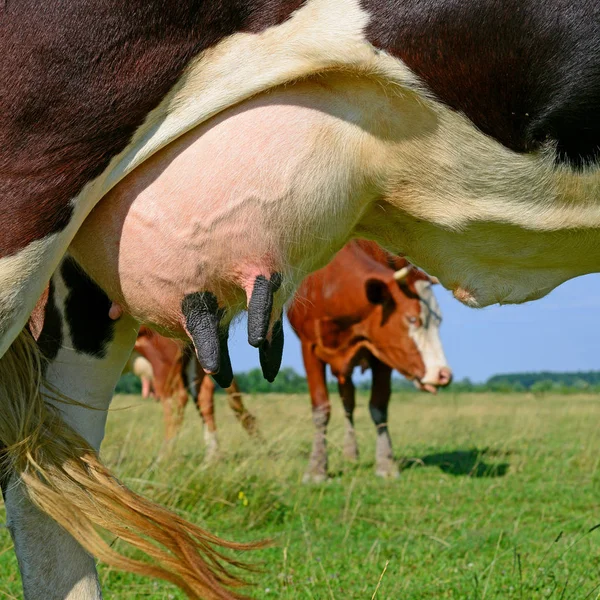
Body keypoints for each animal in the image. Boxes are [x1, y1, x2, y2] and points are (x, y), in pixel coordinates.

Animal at [288, 241, 450, 480]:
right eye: (412, 318)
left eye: (439, 321)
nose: (443, 374)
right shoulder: (308, 347)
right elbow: (321, 409)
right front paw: (316, 468)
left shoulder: (382, 353)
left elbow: (379, 407)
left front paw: (386, 464)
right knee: (347, 402)